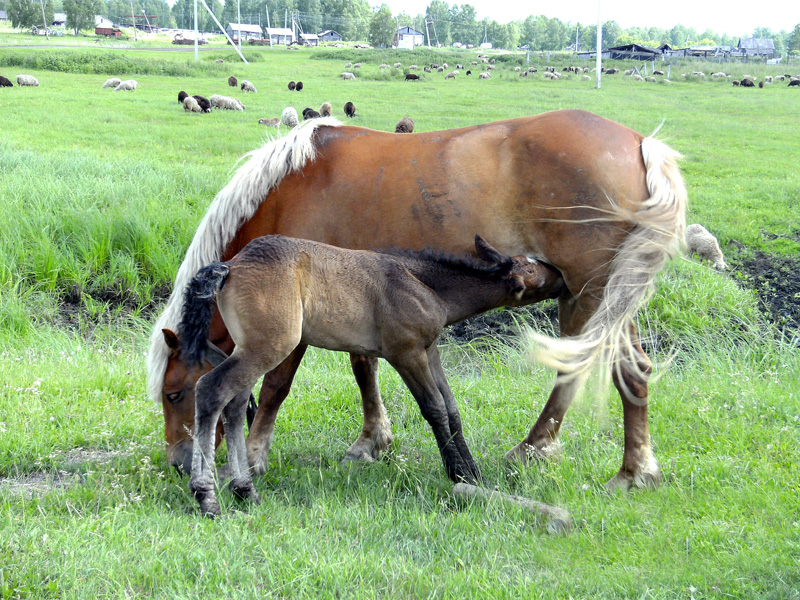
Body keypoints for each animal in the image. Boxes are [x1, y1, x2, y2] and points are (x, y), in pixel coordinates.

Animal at [177, 234, 564, 516]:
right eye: (534, 271)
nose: (561, 273)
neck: (424, 284)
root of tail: (229, 266)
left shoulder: (431, 352)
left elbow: (453, 409)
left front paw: (471, 472)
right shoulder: (405, 353)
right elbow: (434, 409)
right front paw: (456, 471)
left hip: (252, 349)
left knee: (234, 404)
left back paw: (245, 490)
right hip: (270, 345)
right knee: (211, 390)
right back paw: (207, 497)